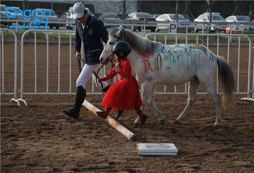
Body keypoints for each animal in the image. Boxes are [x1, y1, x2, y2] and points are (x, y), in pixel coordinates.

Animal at [99, 27, 234, 127]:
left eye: (111, 42)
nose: (101, 58)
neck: (144, 56)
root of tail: (213, 55)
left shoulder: (147, 83)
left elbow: (145, 101)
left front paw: (138, 120)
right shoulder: (151, 84)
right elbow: (151, 101)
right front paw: (161, 118)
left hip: (206, 81)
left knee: (216, 98)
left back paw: (217, 122)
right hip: (194, 81)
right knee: (191, 100)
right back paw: (179, 119)